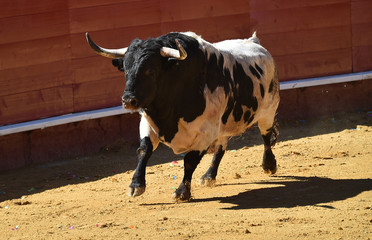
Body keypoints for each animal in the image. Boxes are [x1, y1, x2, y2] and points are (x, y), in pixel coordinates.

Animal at [86, 31, 280, 202]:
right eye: (125, 69)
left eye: (151, 70)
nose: (128, 100)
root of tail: (254, 42)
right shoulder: (147, 122)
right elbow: (144, 150)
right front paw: (136, 185)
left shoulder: (205, 133)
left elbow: (189, 161)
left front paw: (181, 192)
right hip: (225, 123)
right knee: (221, 147)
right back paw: (209, 176)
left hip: (268, 112)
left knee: (265, 136)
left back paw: (269, 165)